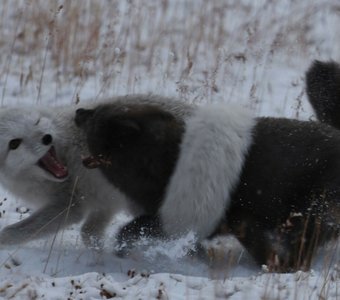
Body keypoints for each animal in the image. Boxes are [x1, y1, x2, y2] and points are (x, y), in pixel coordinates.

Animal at [0, 95, 193, 247]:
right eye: (14, 144)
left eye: (37, 122)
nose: (47, 138)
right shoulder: (105, 203)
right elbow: (89, 232)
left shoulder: (71, 207)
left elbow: (11, 232)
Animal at [77, 98, 340, 272]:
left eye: (97, 117)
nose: (79, 111)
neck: (168, 157)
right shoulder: (170, 219)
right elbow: (131, 230)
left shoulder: (230, 219)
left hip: (312, 214)